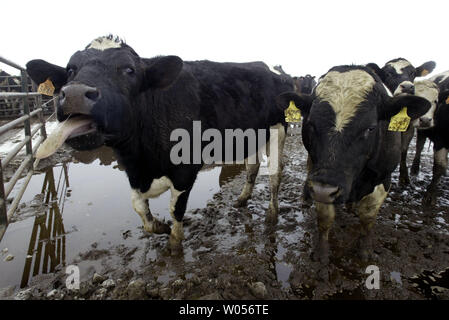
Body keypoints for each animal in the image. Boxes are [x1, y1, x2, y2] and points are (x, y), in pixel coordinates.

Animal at [24, 35, 292, 252]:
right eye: (70, 69)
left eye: (129, 70)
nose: (75, 94)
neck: (143, 160)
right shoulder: (133, 173)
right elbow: (139, 208)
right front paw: (161, 227)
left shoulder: (185, 170)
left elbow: (176, 209)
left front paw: (174, 241)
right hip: (252, 135)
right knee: (252, 168)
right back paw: (243, 198)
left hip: (278, 129)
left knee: (275, 175)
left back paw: (272, 213)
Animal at [276, 65, 430, 262]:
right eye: (311, 124)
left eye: (370, 128)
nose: (322, 189)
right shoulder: (321, 184)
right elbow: (325, 217)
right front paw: (321, 252)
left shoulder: (383, 178)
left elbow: (368, 216)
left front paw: (365, 250)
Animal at [366, 57, 436, 185]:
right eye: (388, 73)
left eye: (413, 72)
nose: (408, 87)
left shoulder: (409, 129)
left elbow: (403, 150)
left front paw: (404, 176)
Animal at [412, 70, 449, 205]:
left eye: (436, 101)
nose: (425, 120)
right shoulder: (441, 139)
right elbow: (439, 166)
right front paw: (430, 195)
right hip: (422, 132)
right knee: (419, 146)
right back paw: (414, 169)